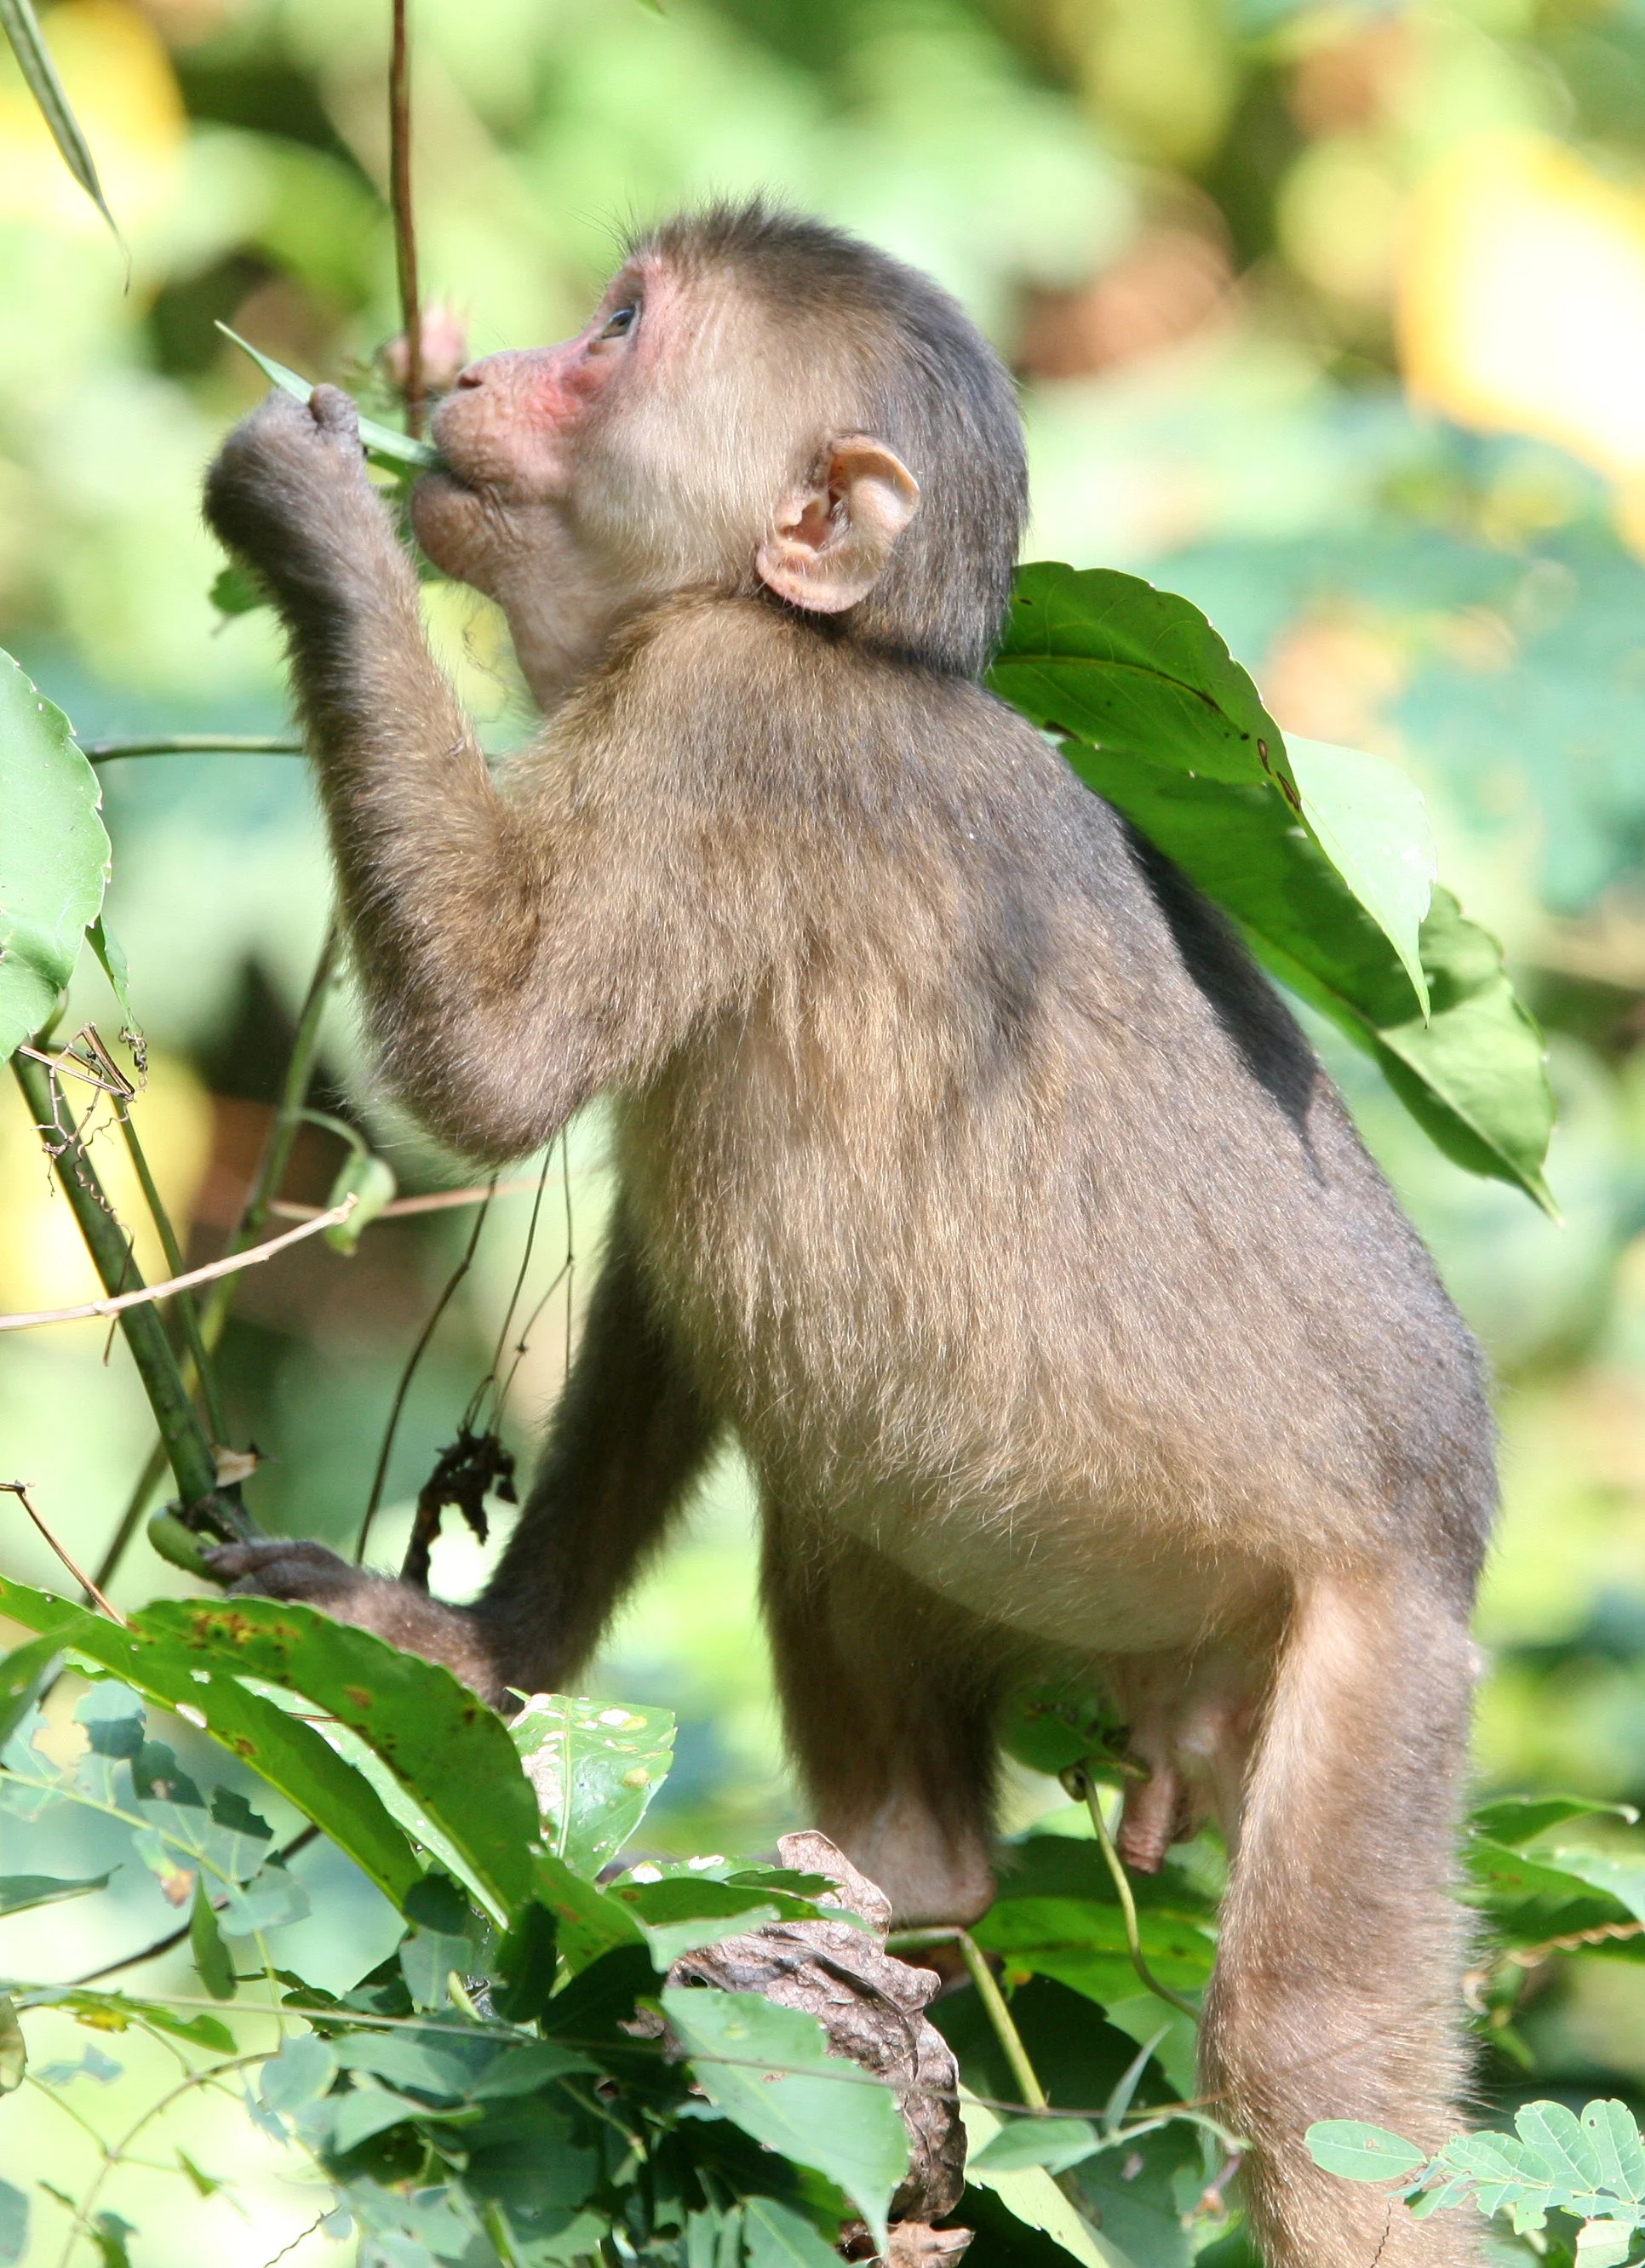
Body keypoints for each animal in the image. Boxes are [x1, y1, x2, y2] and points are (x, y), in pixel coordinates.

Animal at [202, 203, 1495, 2268]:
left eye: (616, 336)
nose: (469, 377)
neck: (833, 643)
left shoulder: (724, 716)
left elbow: (488, 1060)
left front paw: (310, 509)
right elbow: (663, 1282)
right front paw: (476, 1650)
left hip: (1380, 1667)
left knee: (1306, 2061)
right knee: (834, 1461)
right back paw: (895, 1878)